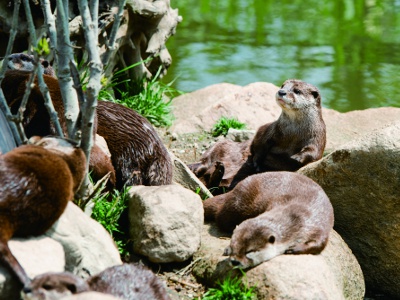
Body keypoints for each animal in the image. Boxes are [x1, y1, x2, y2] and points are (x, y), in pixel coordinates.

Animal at [188, 79, 324, 192]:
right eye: (282, 85)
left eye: (297, 91)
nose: (281, 92)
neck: (293, 134)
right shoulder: (270, 129)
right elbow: (259, 142)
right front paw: (256, 161)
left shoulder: (317, 137)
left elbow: (314, 152)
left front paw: (297, 157)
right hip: (220, 144)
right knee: (206, 160)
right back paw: (198, 167)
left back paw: (219, 172)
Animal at [203, 171, 334, 270]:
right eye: (232, 245)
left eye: (249, 251)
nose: (235, 262)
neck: (297, 218)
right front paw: (227, 249)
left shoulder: (317, 224)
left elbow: (321, 243)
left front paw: (295, 248)